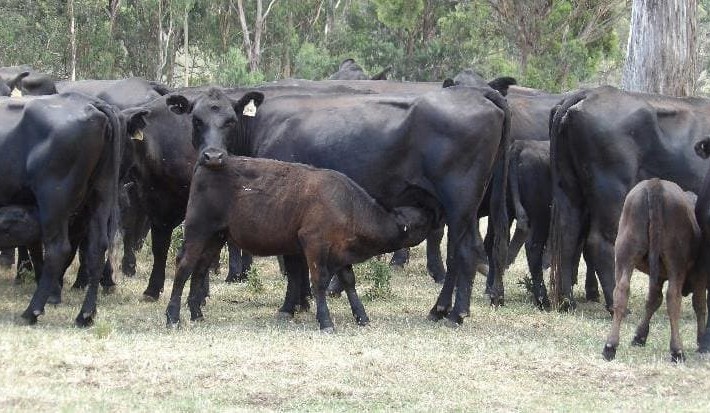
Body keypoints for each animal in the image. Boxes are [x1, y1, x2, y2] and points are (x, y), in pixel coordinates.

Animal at [0, 92, 147, 326]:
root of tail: (91, 103)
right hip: (100, 195)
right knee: (97, 248)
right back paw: (85, 314)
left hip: (54, 200)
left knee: (58, 249)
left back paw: (32, 311)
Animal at [166, 154, 433, 331]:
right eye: (421, 222)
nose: (437, 215)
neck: (346, 204)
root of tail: (212, 162)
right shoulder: (314, 244)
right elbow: (319, 282)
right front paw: (325, 321)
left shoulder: (341, 252)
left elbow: (349, 281)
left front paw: (361, 316)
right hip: (197, 231)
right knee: (184, 267)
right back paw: (173, 317)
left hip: (216, 237)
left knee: (200, 269)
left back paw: (196, 313)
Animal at [549, 86, 710, 312]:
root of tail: (590, 92)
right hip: (612, 190)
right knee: (601, 243)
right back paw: (615, 304)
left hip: (569, 189)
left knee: (568, 237)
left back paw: (567, 302)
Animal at [602, 179, 706, 362]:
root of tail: (655, 184)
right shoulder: (700, 275)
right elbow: (700, 305)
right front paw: (702, 341)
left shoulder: (657, 276)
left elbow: (652, 300)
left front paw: (639, 336)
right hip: (675, 263)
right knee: (673, 298)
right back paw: (677, 350)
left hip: (625, 255)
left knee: (621, 292)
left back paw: (610, 346)